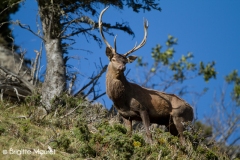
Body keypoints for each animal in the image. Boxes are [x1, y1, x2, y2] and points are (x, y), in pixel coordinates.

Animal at [98, 6, 194, 144]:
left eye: (125, 61)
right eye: (114, 59)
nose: (122, 67)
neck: (122, 99)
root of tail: (193, 112)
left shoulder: (143, 109)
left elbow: (149, 134)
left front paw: (151, 145)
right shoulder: (125, 115)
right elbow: (129, 135)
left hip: (180, 117)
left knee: (186, 142)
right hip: (170, 124)